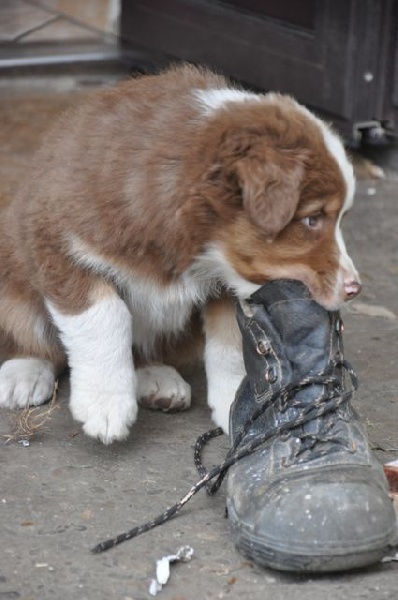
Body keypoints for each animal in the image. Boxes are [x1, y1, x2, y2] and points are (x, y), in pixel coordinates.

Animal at [0, 63, 360, 442]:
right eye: (311, 219)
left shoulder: (227, 286)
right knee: (29, 330)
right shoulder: (58, 244)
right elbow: (106, 316)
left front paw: (237, 403)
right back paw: (24, 373)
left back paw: (157, 378)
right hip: (13, 277)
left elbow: (229, 341)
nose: (355, 288)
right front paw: (105, 405)